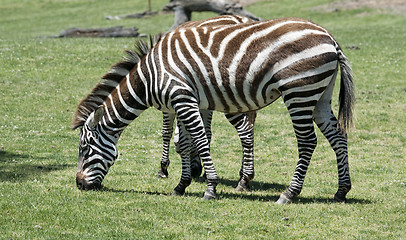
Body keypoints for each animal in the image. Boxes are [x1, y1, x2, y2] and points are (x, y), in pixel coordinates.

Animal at [73, 15, 356, 202]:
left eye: (85, 148)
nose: (79, 184)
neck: (150, 77)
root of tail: (330, 39)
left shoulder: (182, 98)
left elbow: (199, 140)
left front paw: (210, 188)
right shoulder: (184, 101)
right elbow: (185, 143)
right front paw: (182, 185)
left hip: (299, 92)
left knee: (307, 142)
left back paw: (289, 193)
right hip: (320, 94)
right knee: (338, 136)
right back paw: (341, 191)